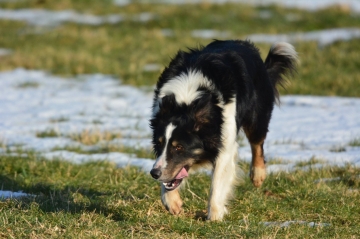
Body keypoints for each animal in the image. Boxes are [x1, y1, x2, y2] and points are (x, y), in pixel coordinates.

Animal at [149, 39, 298, 220]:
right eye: (159, 144)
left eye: (179, 147)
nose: (153, 174)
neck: (186, 102)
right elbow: (170, 177)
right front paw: (173, 203)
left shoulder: (225, 142)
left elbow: (217, 185)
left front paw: (214, 218)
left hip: (257, 114)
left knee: (257, 143)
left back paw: (258, 175)